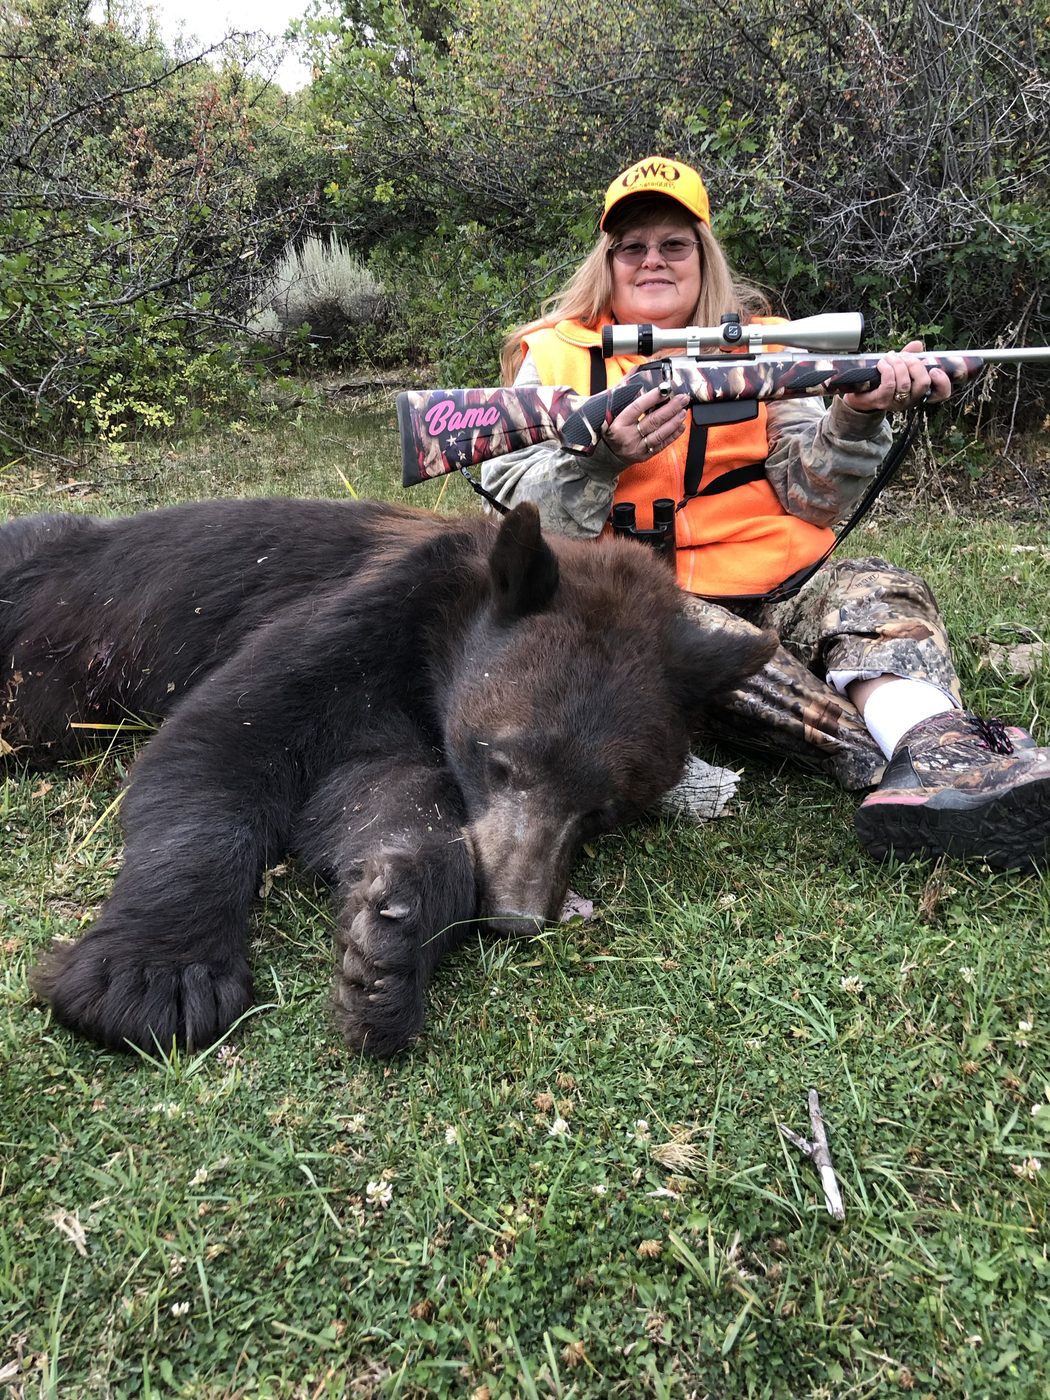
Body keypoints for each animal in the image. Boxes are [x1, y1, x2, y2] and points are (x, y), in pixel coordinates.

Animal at [1, 496, 776, 1058]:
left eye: (605, 810)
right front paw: (154, 978)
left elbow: (377, 797)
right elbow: (219, 746)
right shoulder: (357, 616)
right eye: (501, 762)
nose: (517, 915)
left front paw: (389, 941)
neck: (432, 652)